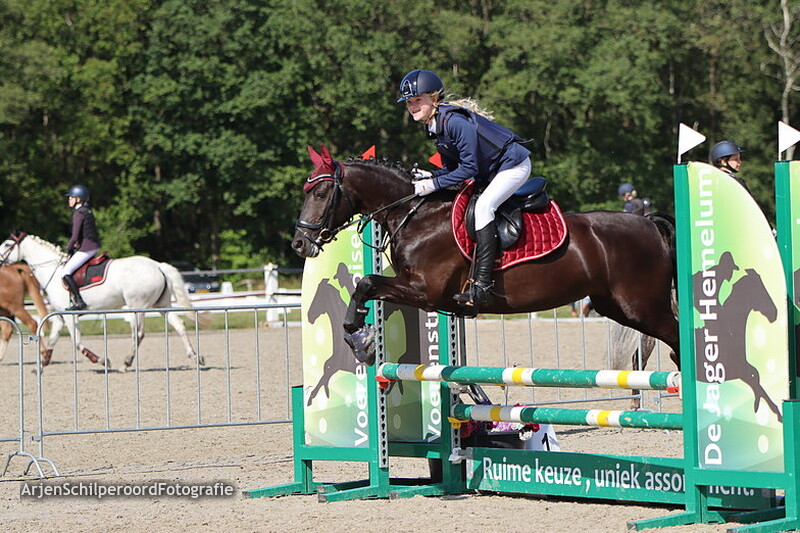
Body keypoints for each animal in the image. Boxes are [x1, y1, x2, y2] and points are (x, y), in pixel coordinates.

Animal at [0, 232, 204, 370]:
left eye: (7, 244)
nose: (0, 260)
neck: (53, 270)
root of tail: (158, 265)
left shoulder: (69, 316)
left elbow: (76, 342)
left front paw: (101, 361)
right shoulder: (59, 317)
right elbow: (52, 340)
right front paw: (41, 365)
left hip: (137, 306)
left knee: (138, 334)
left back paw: (126, 363)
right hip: (161, 305)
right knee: (178, 325)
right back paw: (195, 357)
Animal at [292, 145, 679, 369]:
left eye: (322, 193)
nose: (299, 243)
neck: (416, 214)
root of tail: (648, 222)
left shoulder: (426, 291)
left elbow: (368, 282)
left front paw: (361, 339)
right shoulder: (415, 289)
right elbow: (366, 286)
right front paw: (363, 339)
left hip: (642, 306)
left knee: (677, 338)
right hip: (614, 306)